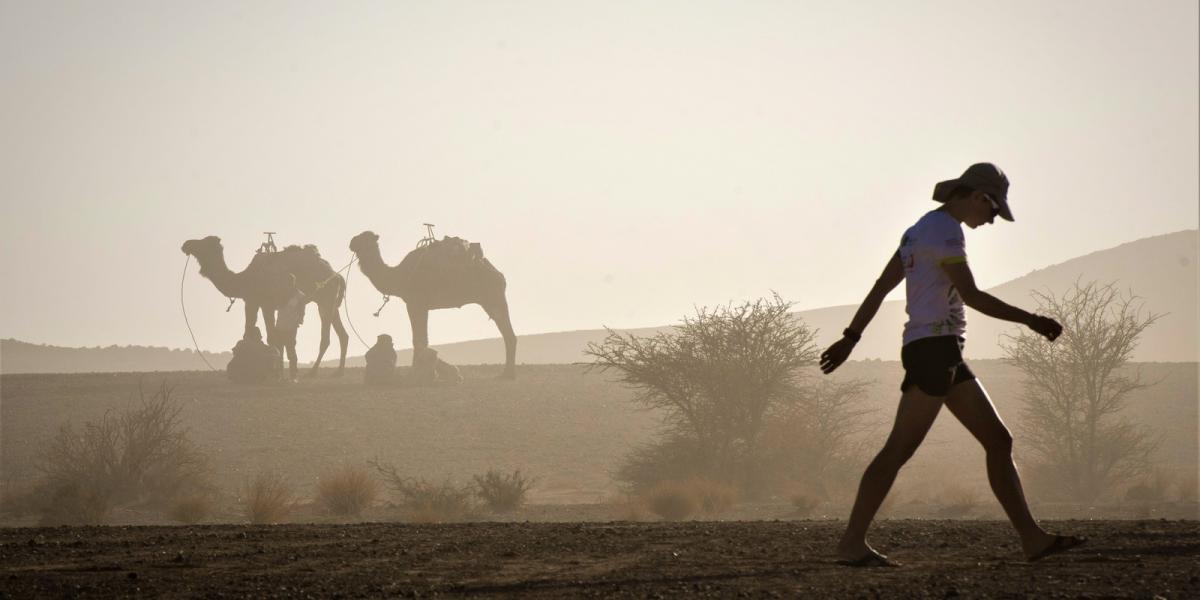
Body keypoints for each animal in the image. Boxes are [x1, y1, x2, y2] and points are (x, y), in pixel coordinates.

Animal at [177, 236, 350, 376]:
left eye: (204, 242)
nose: (186, 244)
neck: (245, 279)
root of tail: (336, 275)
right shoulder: (251, 302)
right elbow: (249, 332)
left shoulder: (267, 304)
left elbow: (272, 337)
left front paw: (274, 372)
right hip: (330, 303)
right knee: (343, 334)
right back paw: (339, 371)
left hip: (325, 299)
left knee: (325, 337)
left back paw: (313, 372)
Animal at [348, 230, 516, 379]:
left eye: (365, 238)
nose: (351, 242)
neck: (399, 275)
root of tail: (497, 272)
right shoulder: (420, 305)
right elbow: (421, 339)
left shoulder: (415, 302)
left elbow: (418, 339)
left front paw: (418, 375)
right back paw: (507, 373)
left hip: (494, 296)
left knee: (508, 334)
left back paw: (507, 374)